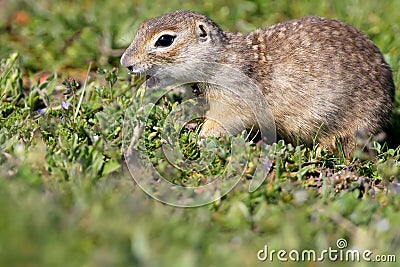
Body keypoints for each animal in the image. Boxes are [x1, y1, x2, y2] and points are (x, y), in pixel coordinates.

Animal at [120, 9, 396, 155]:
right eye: (141, 26)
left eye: (165, 40)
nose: (126, 63)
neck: (221, 59)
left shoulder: (232, 101)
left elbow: (222, 121)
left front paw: (200, 139)